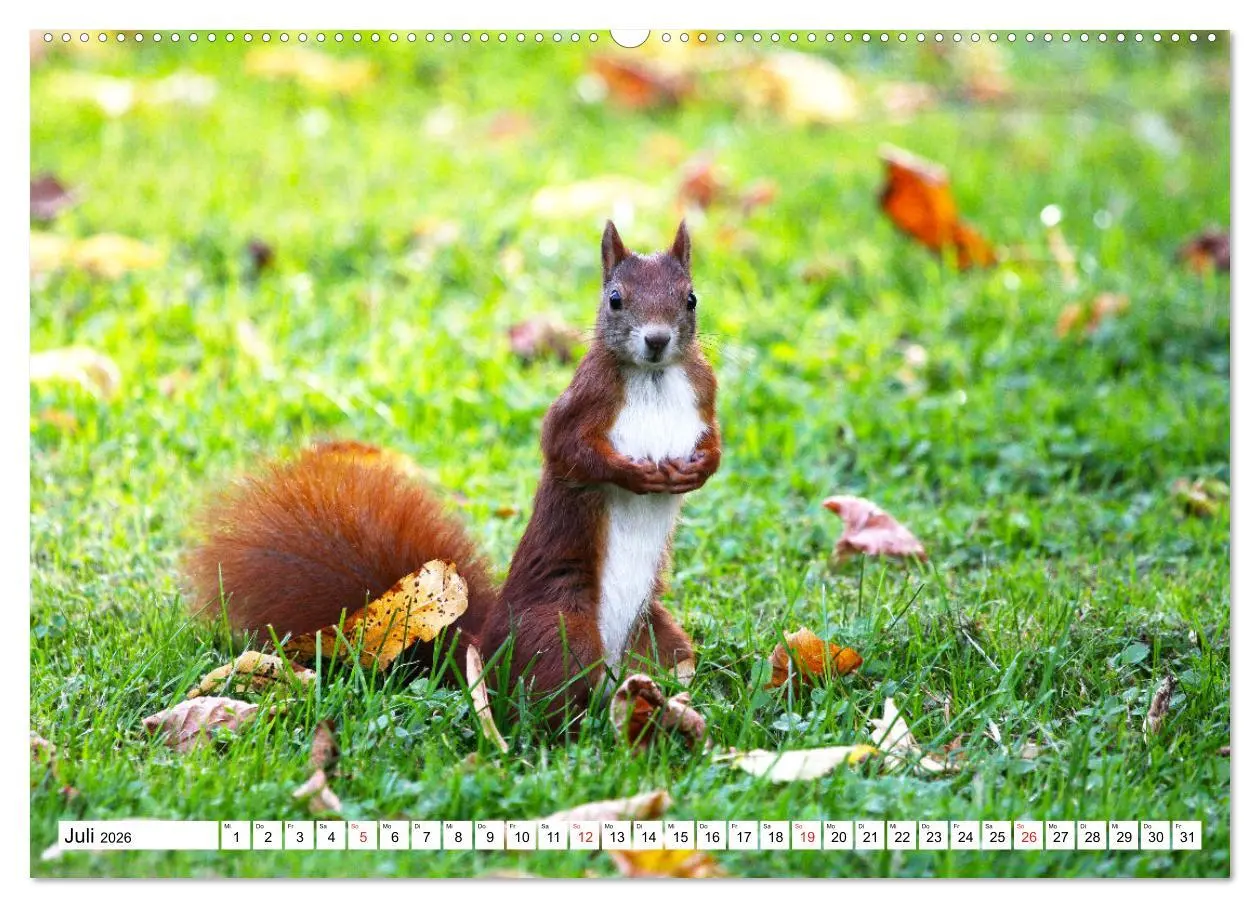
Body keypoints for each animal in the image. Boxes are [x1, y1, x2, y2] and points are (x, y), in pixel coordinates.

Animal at [183, 220, 720, 726]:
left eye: (691, 298)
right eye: (615, 299)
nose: (657, 340)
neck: (652, 378)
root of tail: (485, 650)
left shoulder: (704, 392)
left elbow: (714, 442)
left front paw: (699, 470)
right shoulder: (581, 403)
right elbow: (566, 451)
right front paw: (636, 475)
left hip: (656, 636)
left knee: (665, 661)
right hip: (560, 632)